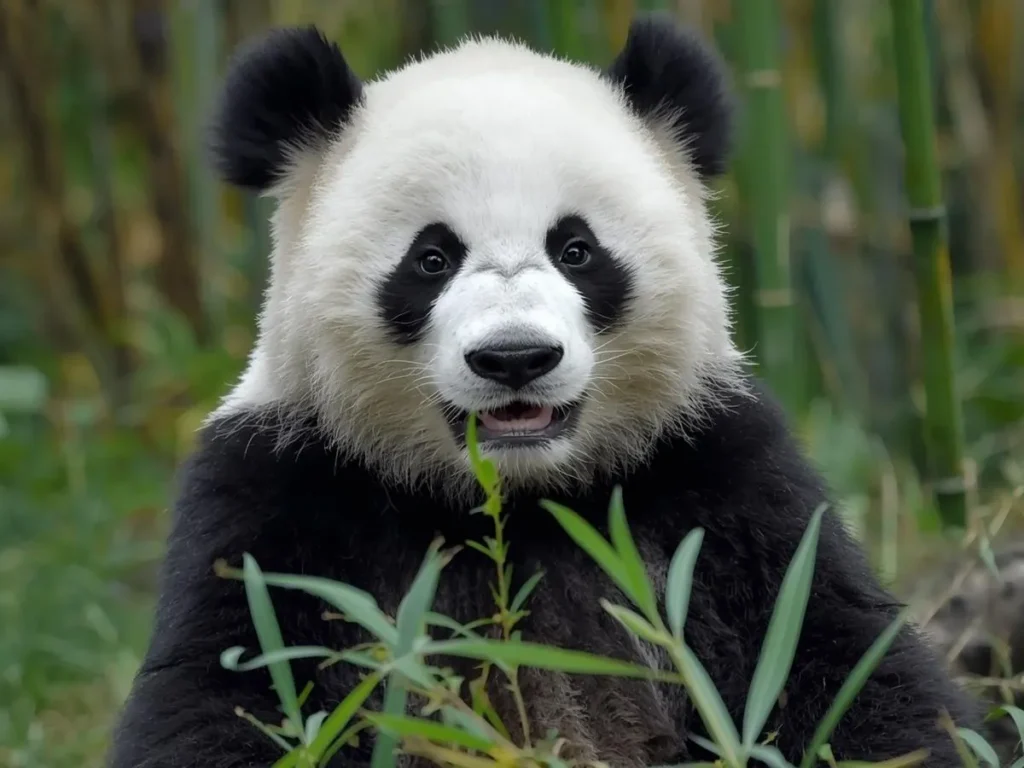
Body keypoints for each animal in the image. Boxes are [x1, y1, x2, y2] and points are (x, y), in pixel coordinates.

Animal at [109, 13, 980, 768]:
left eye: (577, 249)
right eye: (431, 259)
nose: (515, 358)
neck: (515, 501)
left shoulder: (719, 481)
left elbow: (843, 669)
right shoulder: (286, 495)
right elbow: (230, 688)